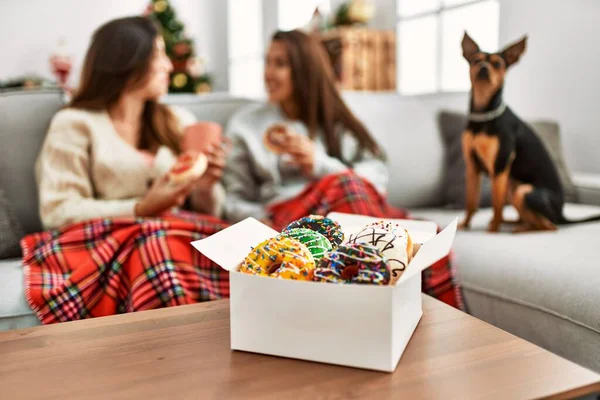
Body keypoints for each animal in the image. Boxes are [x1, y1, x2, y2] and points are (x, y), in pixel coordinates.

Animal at [458, 32, 596, 233]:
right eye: (476, 60)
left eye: (498, 64)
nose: (483, 68)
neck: (483, 115)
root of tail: (561, 214)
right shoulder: (472, 166)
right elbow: (470, 200)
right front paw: (465, 224)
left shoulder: (500, 166)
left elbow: (496, 203)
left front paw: (493, 230)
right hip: (512, 187)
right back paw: (513, 222)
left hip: (522, 191)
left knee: (549, 226)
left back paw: (518, 229)